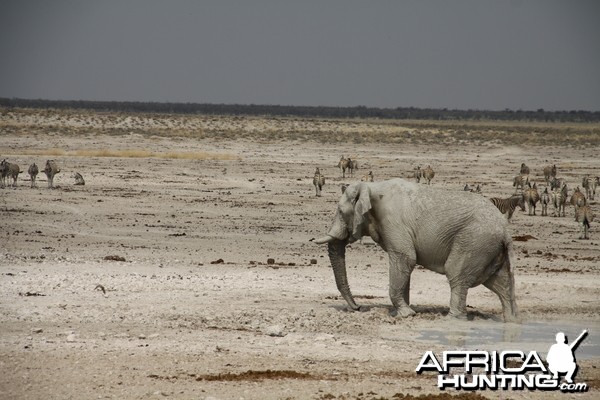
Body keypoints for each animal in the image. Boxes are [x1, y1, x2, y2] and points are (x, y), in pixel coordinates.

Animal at [314, 178, 516, 322]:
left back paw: (451, 320)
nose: (358, 308)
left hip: (474, 241)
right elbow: (404, 268)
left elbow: (405, 258)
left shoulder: (393, 222)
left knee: (457, 275)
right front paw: (403, 312)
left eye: (341, 212)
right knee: (500, 283)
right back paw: (511, 321)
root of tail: (505, 229)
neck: (370, 186)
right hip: (489, 248)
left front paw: (406, 314)